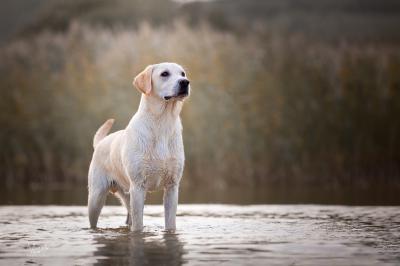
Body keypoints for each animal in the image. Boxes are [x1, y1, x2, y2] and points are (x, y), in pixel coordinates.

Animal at [87, 62, 189, 231]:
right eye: (165, 74)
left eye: (183, 74)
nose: (185, 82)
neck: (163, 123)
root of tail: (101, 142)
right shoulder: (138, 186)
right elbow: (138, 226)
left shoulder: (172, 187)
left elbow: (170, 223)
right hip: (96, 197)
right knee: (94, 222)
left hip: (127, 195)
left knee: (129, 217)